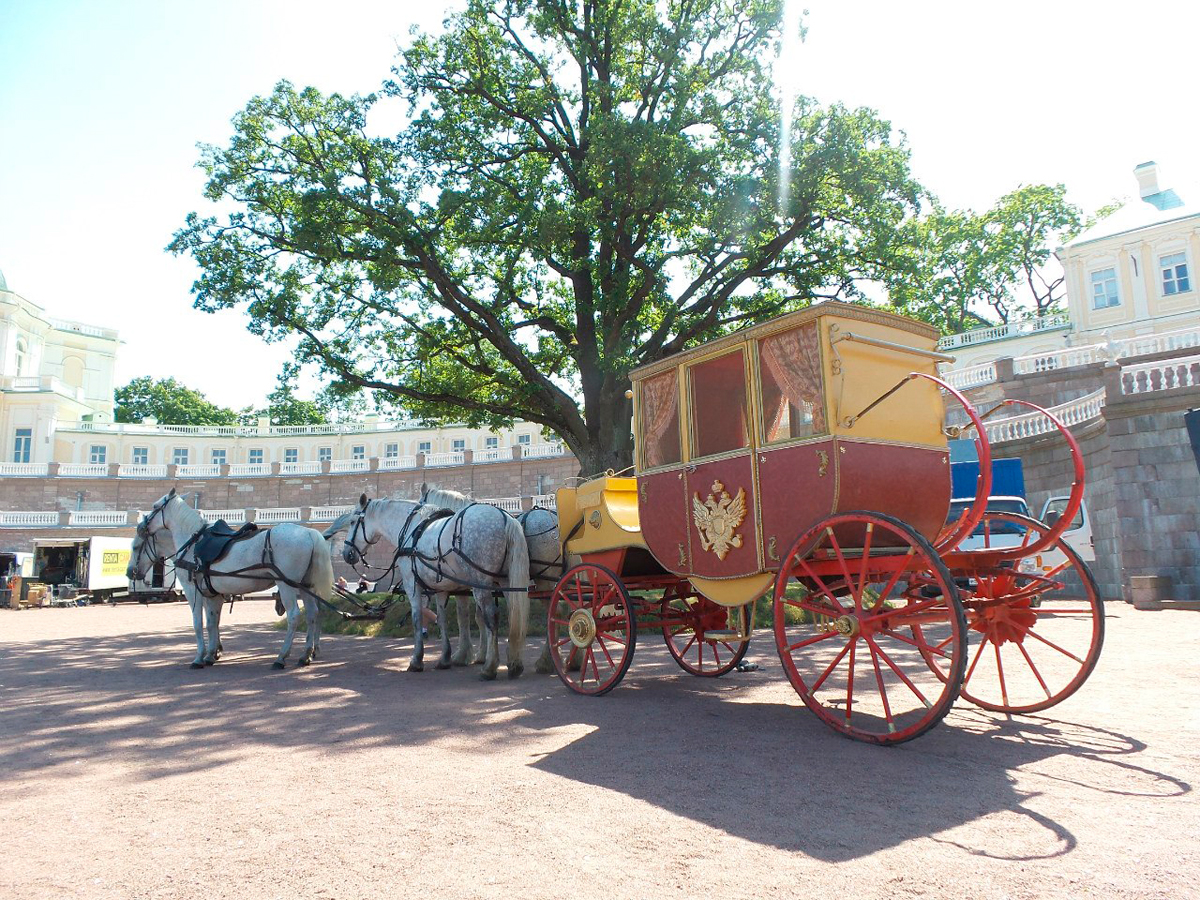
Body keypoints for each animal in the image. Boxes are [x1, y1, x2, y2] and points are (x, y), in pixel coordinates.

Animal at [129, 494, 336, 672]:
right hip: (306, 586)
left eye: (136, 547)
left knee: (294, 616)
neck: (193, 544)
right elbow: (213, 622)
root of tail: (308, 532)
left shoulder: (193, 592)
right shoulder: (213, 594)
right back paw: (306, 654)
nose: (130, 572)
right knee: (312, 614)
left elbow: (198, 624)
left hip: (287, 586)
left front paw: (199, 657)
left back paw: (281, 657)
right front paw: (212, 654)